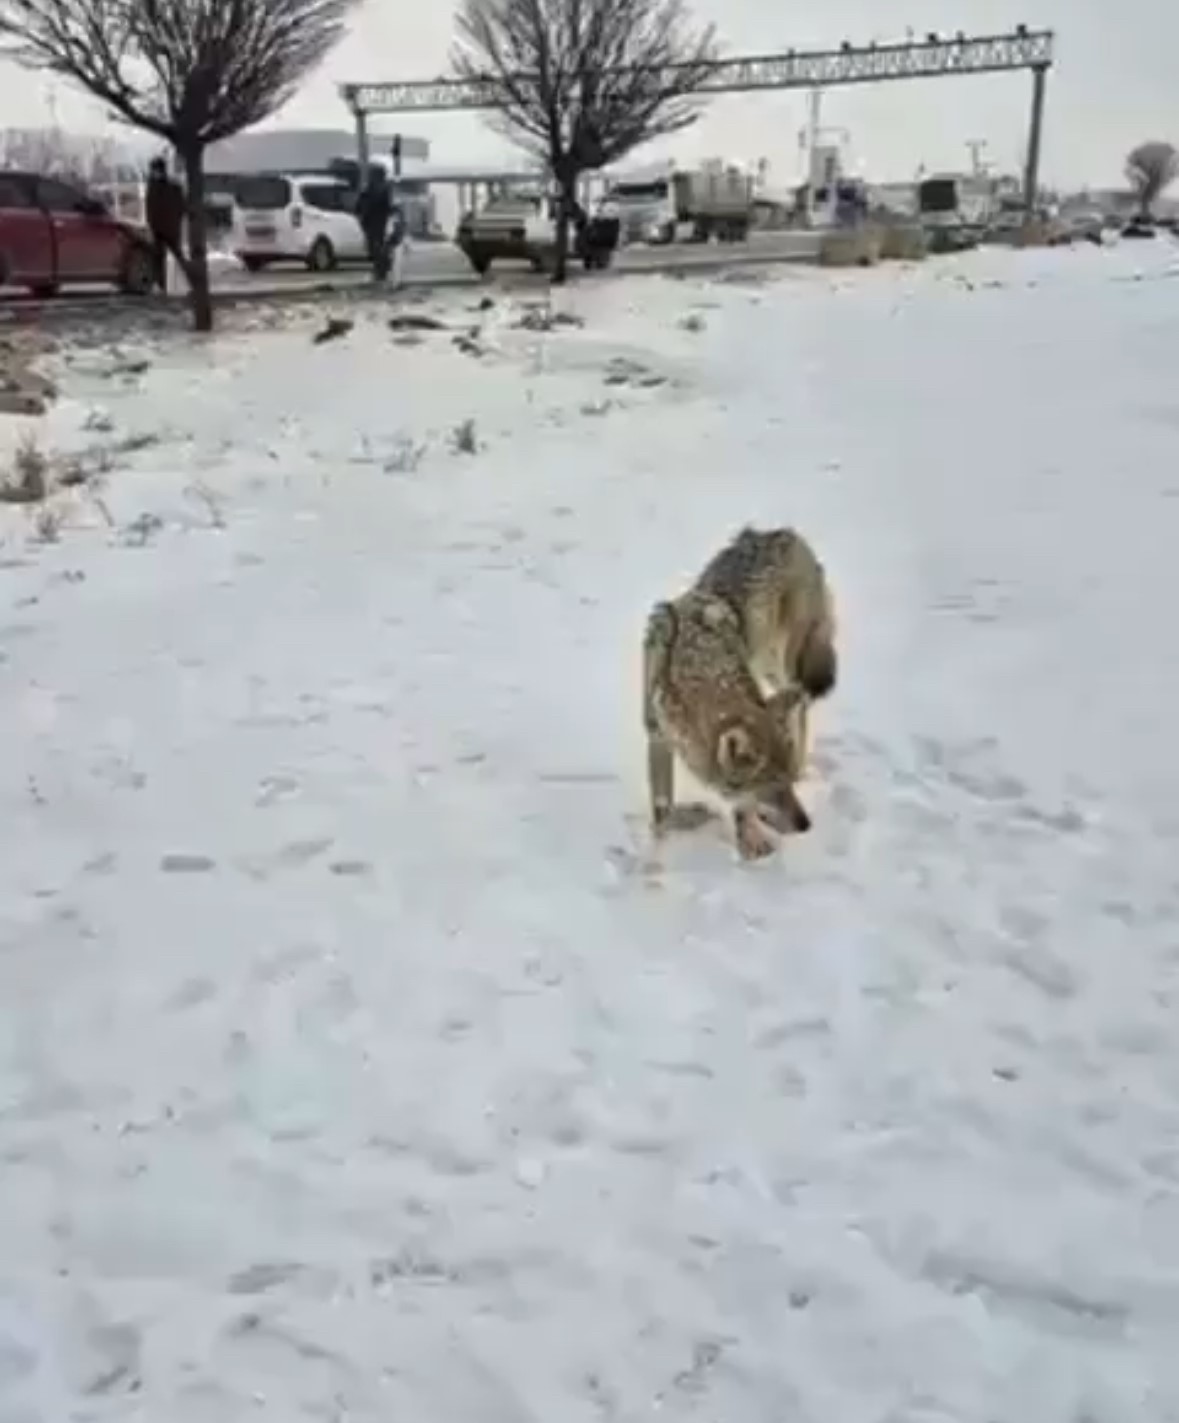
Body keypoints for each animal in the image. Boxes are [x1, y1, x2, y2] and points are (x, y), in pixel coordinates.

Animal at [639, 523, 830, 853]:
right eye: (772, 789)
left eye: (789, 784)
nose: (806, 825)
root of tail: (783, 533)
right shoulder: (657, 736)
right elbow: (663, 810)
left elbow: (742, 808)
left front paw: (750, 842)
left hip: (780, 664)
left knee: (803, 704)